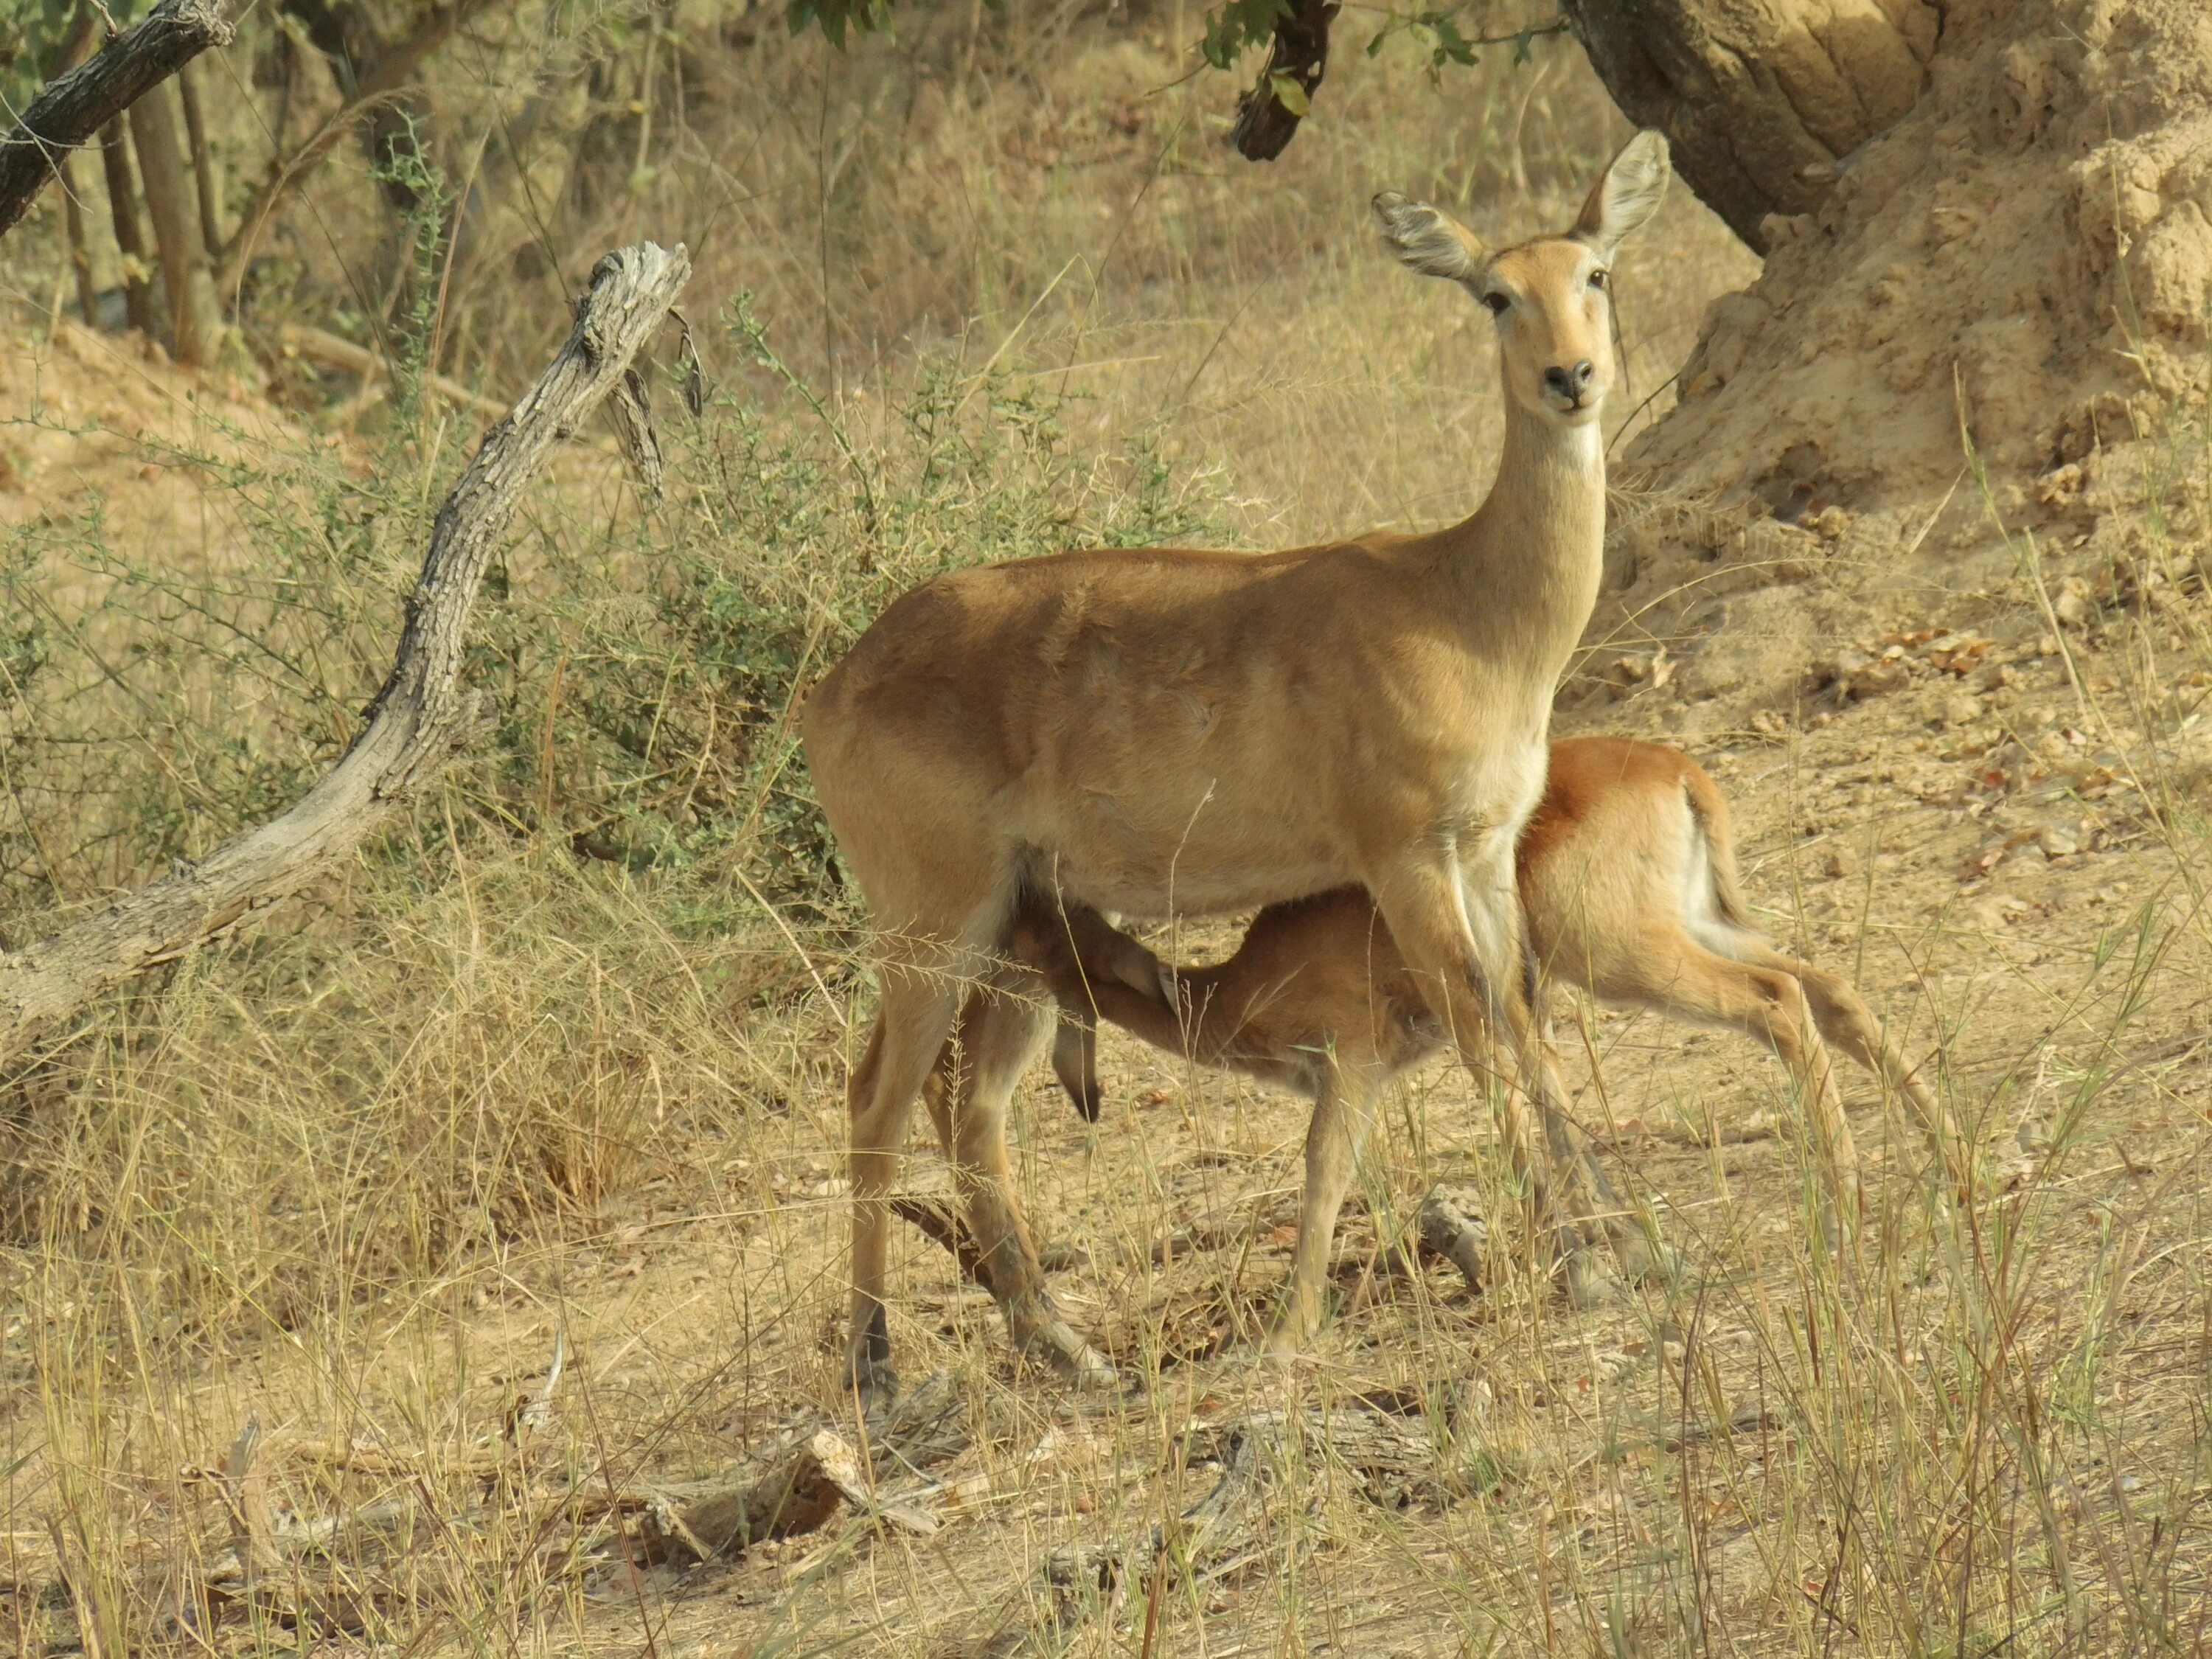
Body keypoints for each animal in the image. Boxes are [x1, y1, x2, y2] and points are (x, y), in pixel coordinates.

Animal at [814, 133, 1672, 1407]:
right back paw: (877, 1365)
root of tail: (831, 684)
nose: (1573, 376)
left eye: (1598, 272)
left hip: (1010, 936)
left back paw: (1070, 1348)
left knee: (966, 1108)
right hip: (932, 919)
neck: (1465, 605)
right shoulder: (1404, 859)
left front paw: (1623, 1247)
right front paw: (1590, 1274)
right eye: (1494, 292)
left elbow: (1526, 1025)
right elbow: (1479, 1035)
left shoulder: (1484, 853)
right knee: (875, 1094)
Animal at [1018, 739, 1955, 1354]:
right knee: (1831, 993)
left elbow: (1324, 1175)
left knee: (1780, 1004)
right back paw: (1950, 1165)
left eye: (1043, 934)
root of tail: (1674, 769)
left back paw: (1843, 1209)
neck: (1237, 988)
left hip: (1626, 954)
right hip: (1697, 926)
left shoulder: (1355, 1068)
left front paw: (1285, 1338)